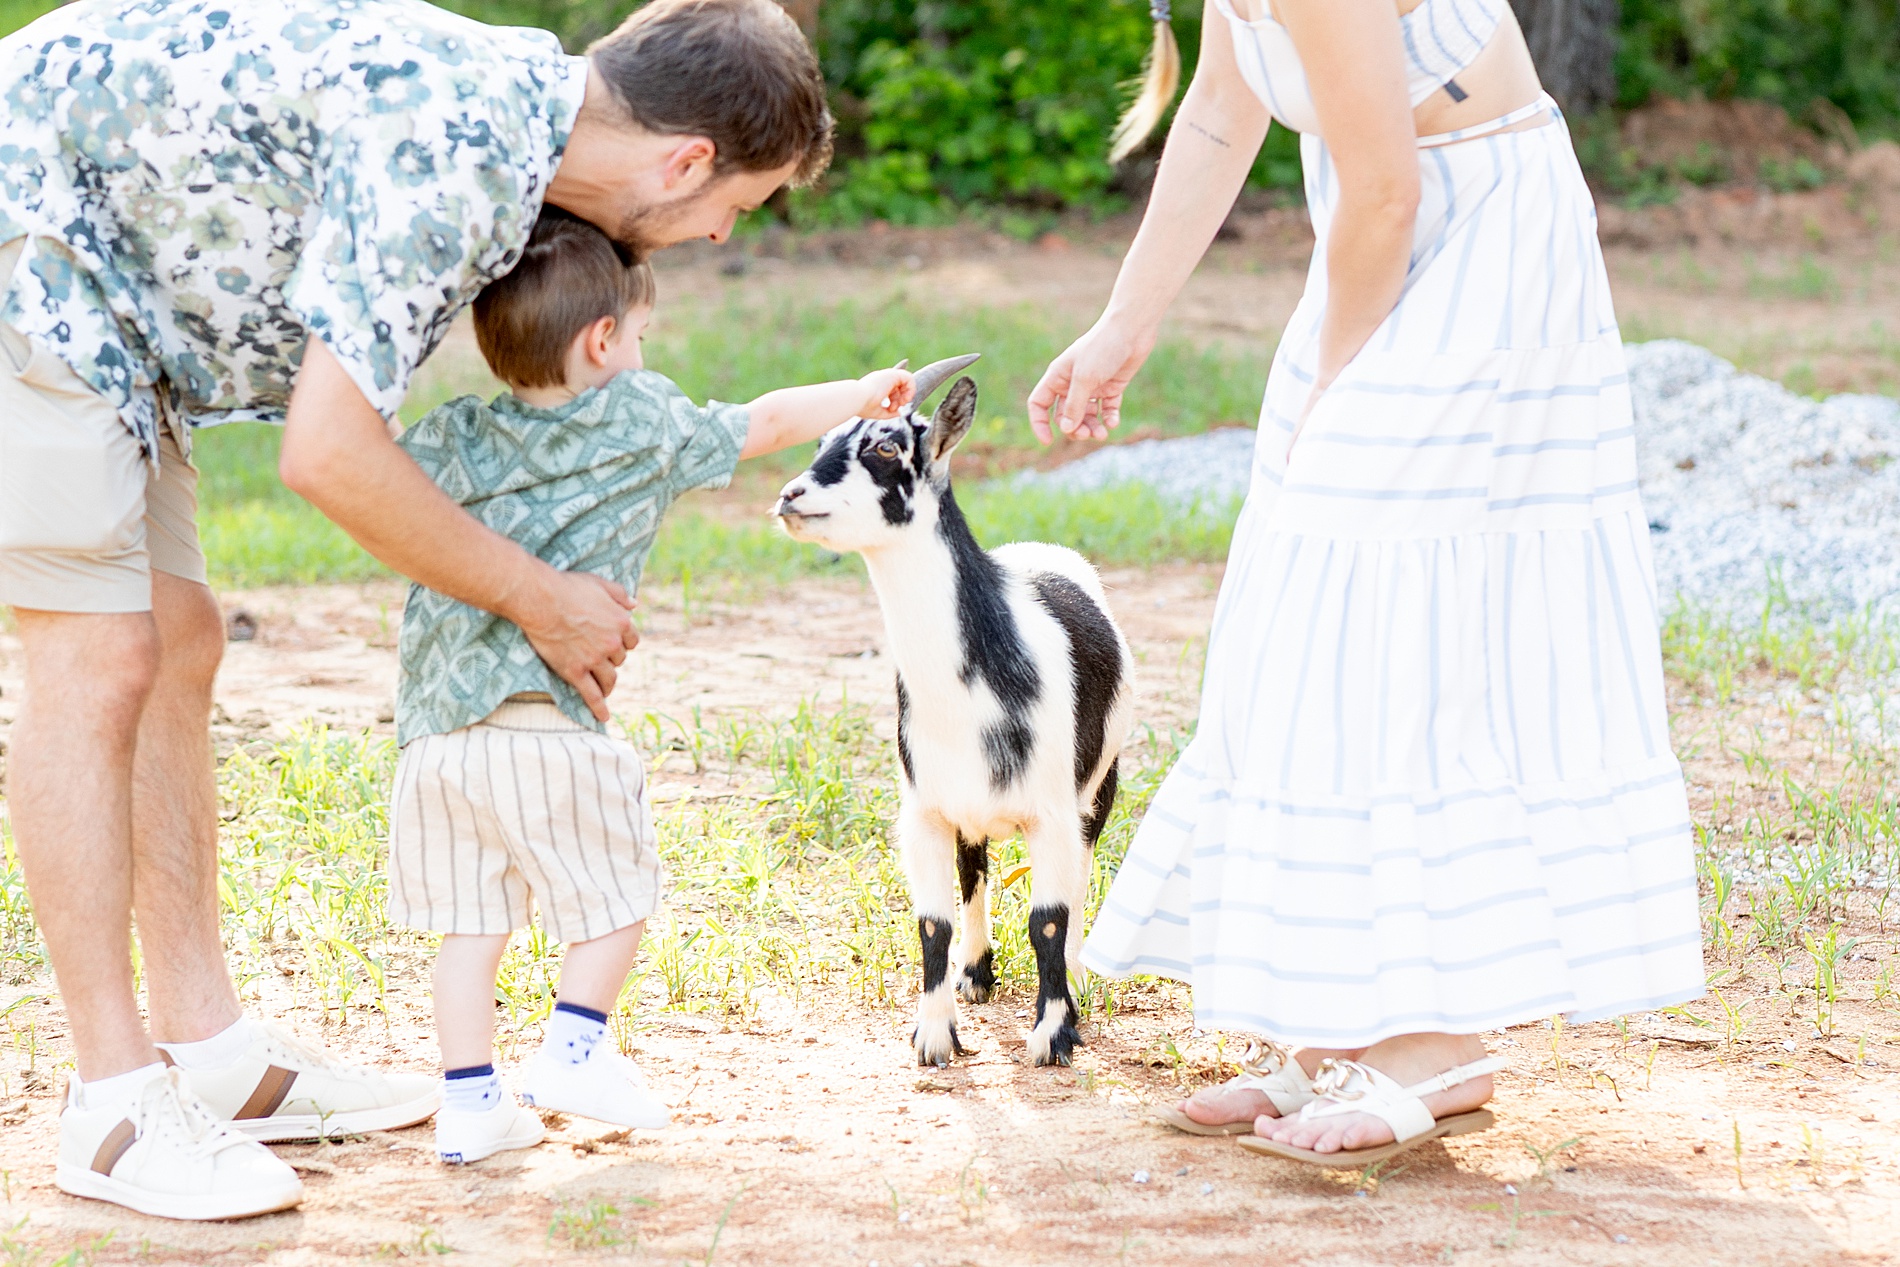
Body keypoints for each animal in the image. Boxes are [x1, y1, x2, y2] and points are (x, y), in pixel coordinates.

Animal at [772, 355, 1133, 1067]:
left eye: (886, 447)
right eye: (822, 439)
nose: (791, 496)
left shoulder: (1052, 810)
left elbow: (1048, 920)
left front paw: (1054, 1034)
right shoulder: (925, 812)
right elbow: (932, 921)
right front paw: (935, 1033)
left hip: (1100, 782)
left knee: (1081, 873)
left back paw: (1078, 978)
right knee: (975, 871)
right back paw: (975, 973)